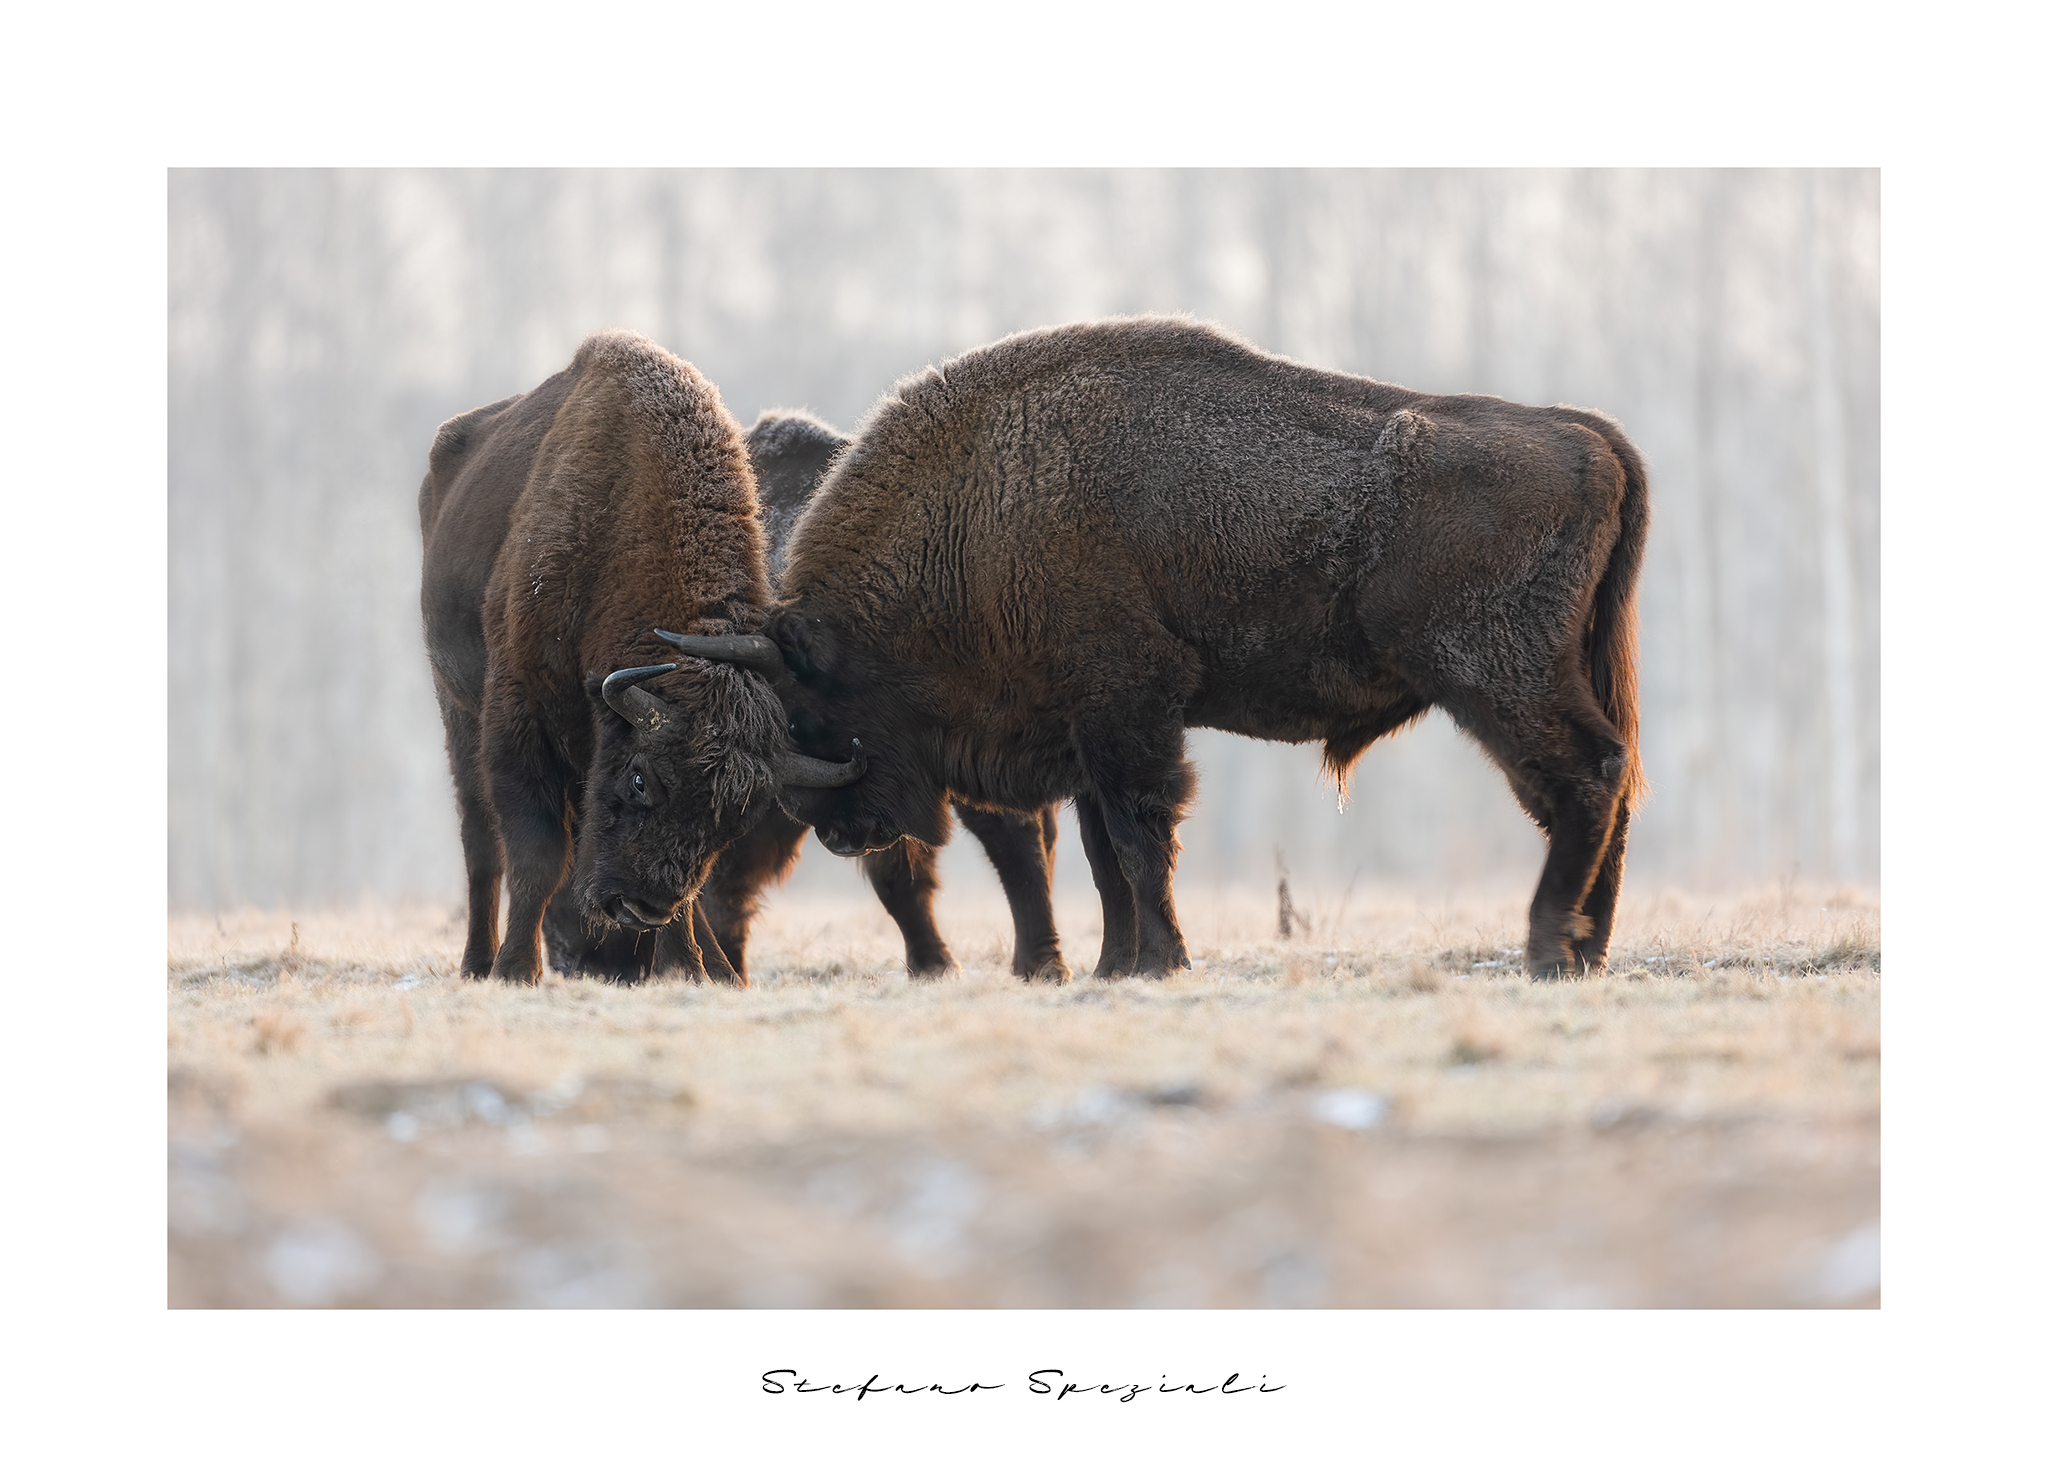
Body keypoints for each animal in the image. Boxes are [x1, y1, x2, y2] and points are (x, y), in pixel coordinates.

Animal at [417, 330, 863, 984]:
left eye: (734, 819)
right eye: (639, 778)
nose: (639, 907)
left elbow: (690, 894)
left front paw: (697, 971)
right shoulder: (519, 715)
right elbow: (535, 857)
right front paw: (516, 970)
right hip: (457, 709)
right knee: (481, 844)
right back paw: (478, 963)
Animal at [691, 316, 1648, 979]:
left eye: (820, 701)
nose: (841, 833)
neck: (986, 504)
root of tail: (1586, 434)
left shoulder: (1127, 710)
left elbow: (1139, 839)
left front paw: (1160, 960)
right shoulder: (1085, 728)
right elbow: (1103, 854)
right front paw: (1119, 964)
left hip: (1495, 678)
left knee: (1583, 778)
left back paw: (1546, 949)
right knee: (1604, 783)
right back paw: (1585, 950)